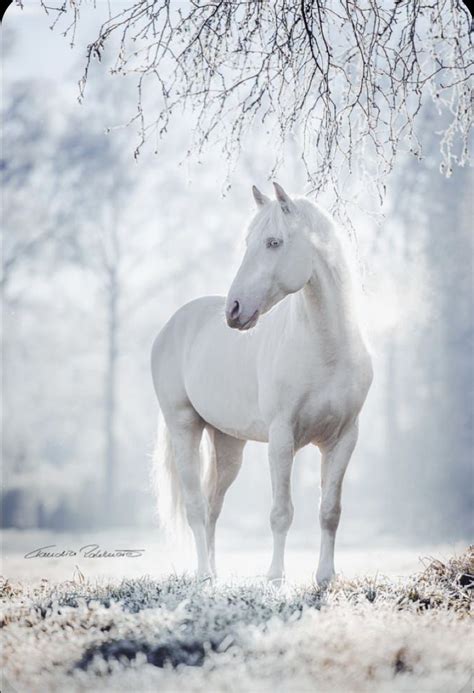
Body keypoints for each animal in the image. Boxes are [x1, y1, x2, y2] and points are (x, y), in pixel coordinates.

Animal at [150, 182, 372, 584]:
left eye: (273, 242)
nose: (234, 310)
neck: (328, 350)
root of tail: (173, 324)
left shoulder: (345, 438)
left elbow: (330, 510)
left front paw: (325, 577)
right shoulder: (282, 438)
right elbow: (281, 512)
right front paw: (275, 577)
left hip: (228, 444)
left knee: (213, 505)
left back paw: (215, 573)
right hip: (184, 426)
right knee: (195, 505)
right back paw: (203, 574)